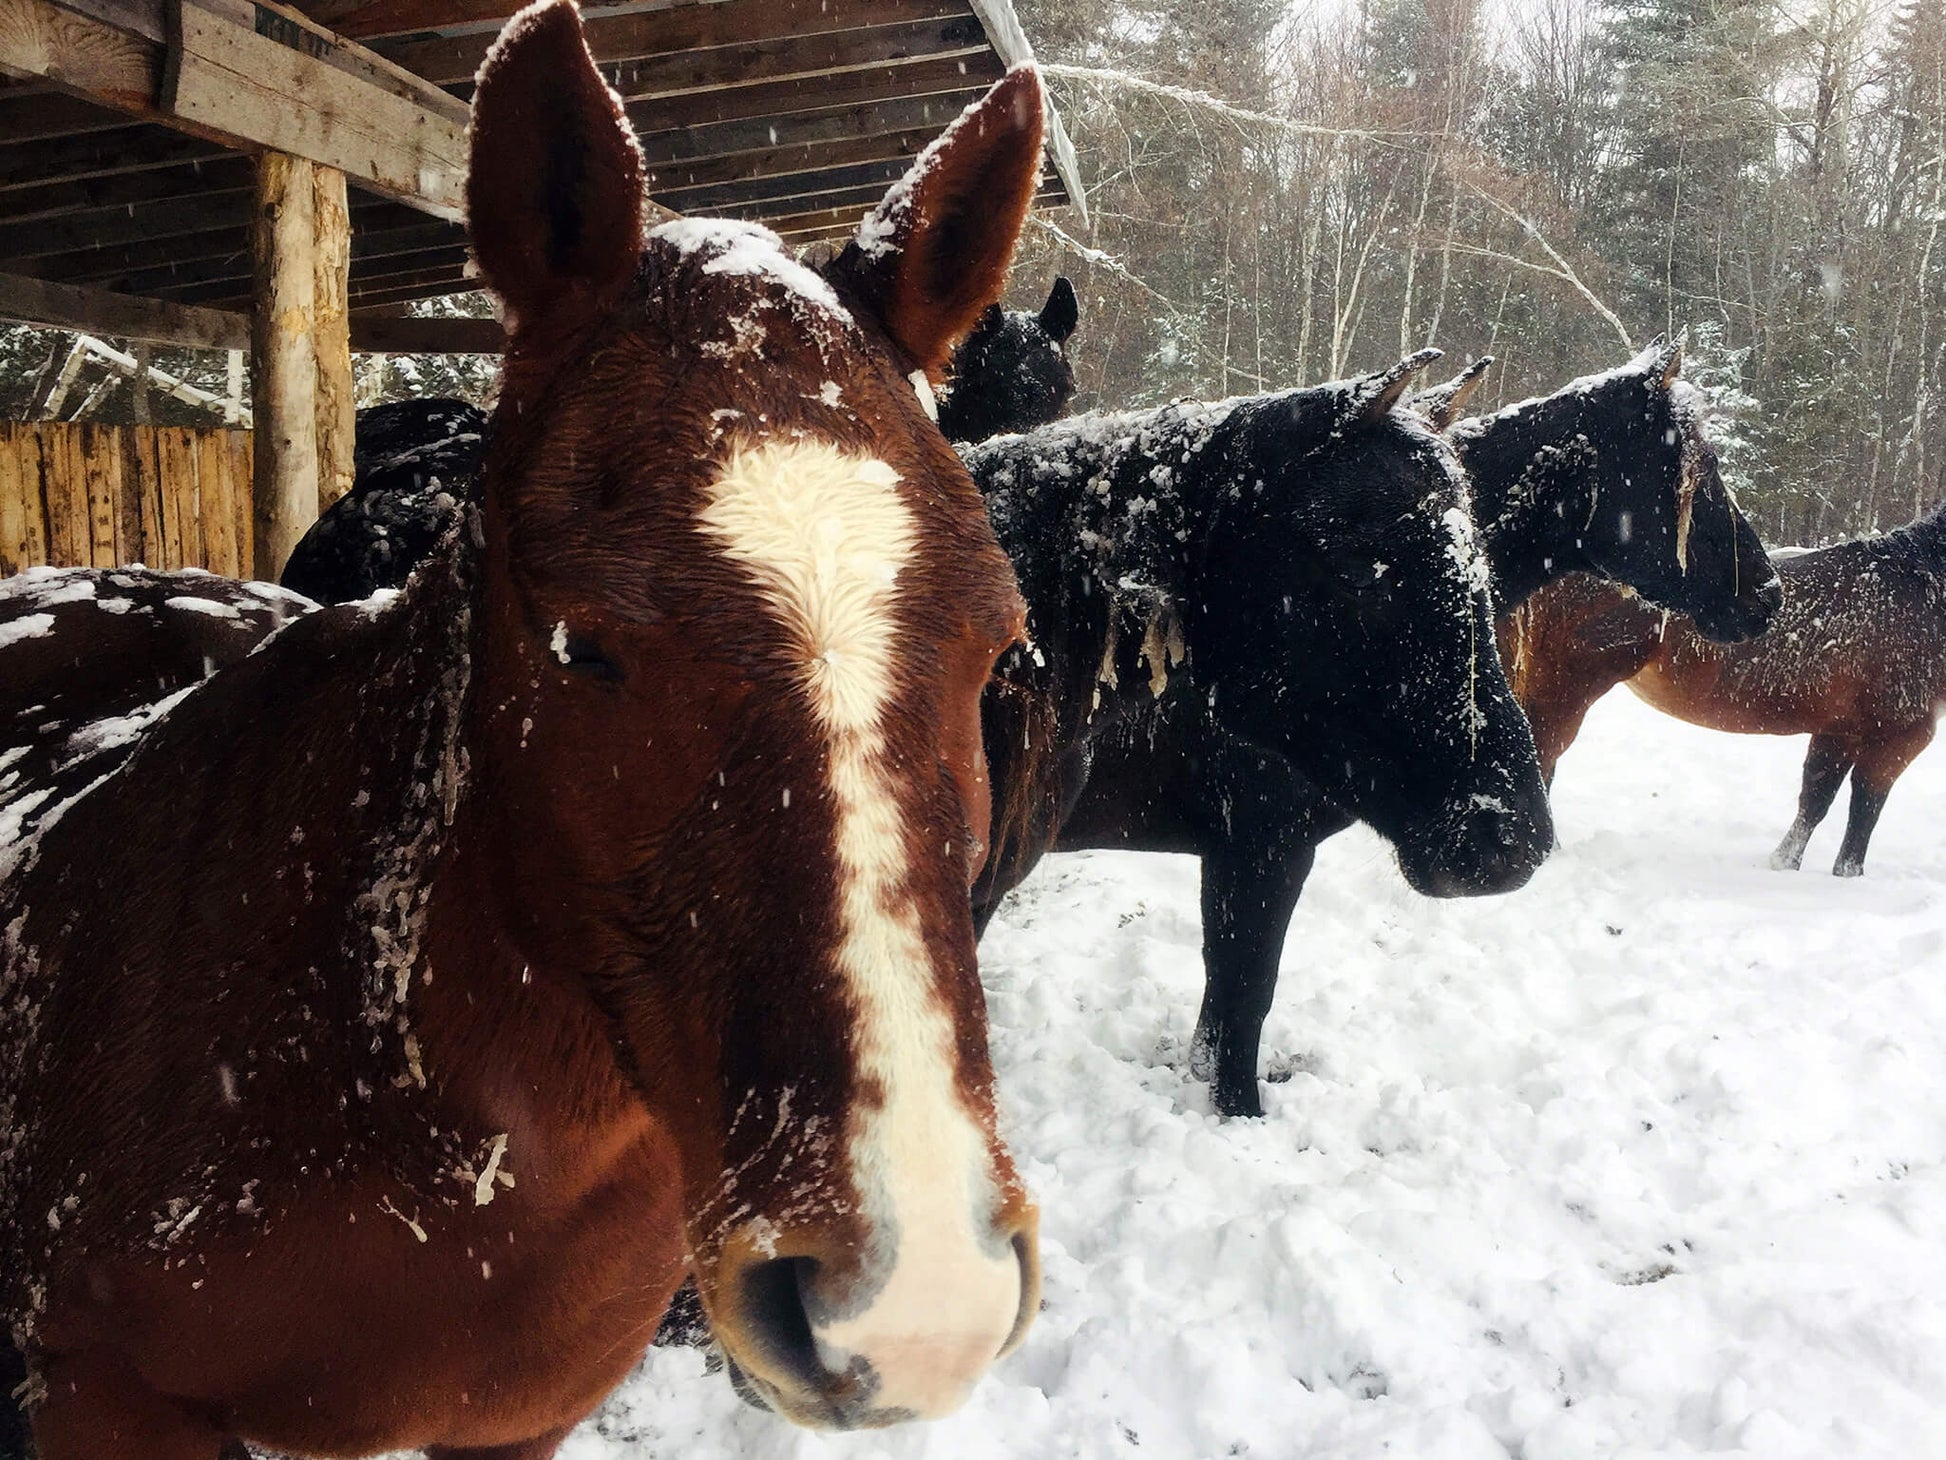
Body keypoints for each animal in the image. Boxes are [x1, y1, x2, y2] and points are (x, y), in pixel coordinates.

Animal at [1509, 504, 1946, 875]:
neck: (1920, 594)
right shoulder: (1898, 738)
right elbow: (1864, 812)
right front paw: (1846, 876)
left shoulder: (1840, 730)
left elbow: (1815, 800)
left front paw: (1783, 864)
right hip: (1565, 692)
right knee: (1544, 759)